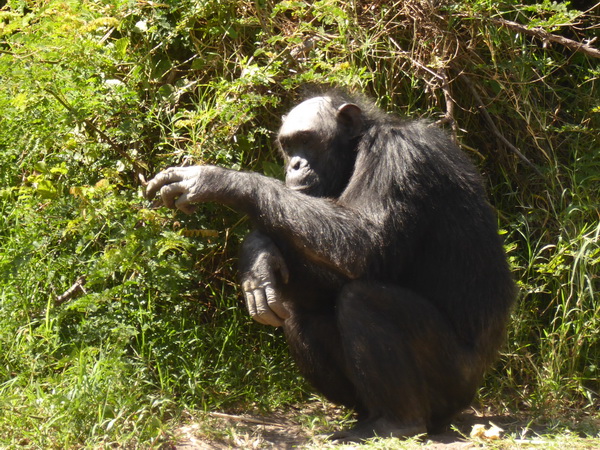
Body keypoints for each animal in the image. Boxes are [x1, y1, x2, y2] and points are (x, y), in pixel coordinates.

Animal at [146, 90, 516, 440]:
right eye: (288, 144)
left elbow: (365, 242)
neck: (357, 152)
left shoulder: (399, 156)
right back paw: (364, 417)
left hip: (453, 380)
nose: (295, 164)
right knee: (301, 311)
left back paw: (396, 423)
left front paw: (218, 181)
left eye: (307, 139)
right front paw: (257, 259)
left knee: (363, 300)